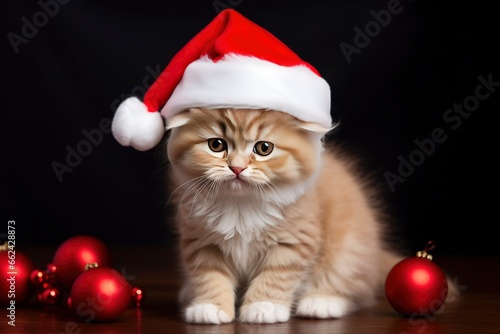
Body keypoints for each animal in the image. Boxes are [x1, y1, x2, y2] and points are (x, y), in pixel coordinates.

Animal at [164, 106, 422, 324]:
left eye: (264, 148)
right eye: (216, 145)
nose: (237, 168)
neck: (240, 205)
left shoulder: (294, 241)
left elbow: (275, 276)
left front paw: (263, 307)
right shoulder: (201, 242)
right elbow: (210, 276)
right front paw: (209, 306)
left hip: (348, 250)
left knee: (353, 288)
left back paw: (321, 302)